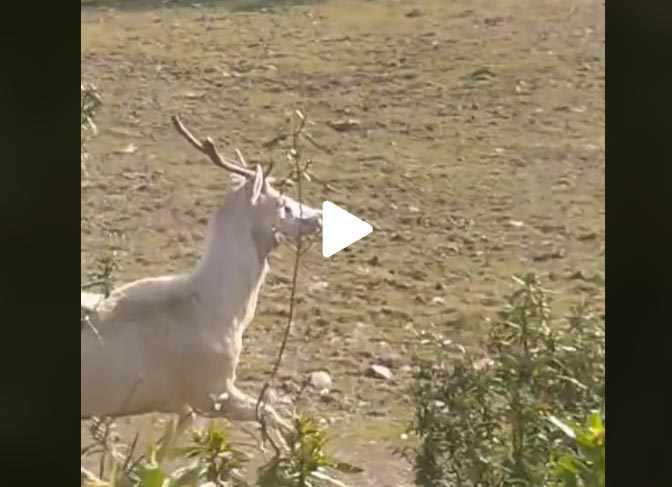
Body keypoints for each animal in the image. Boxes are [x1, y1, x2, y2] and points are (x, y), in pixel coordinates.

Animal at [81, 116, 322, 440]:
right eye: (283, 203)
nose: (319, 216)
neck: (220, 312)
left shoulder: (184, 406)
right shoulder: (210, 392)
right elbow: (268, 412)